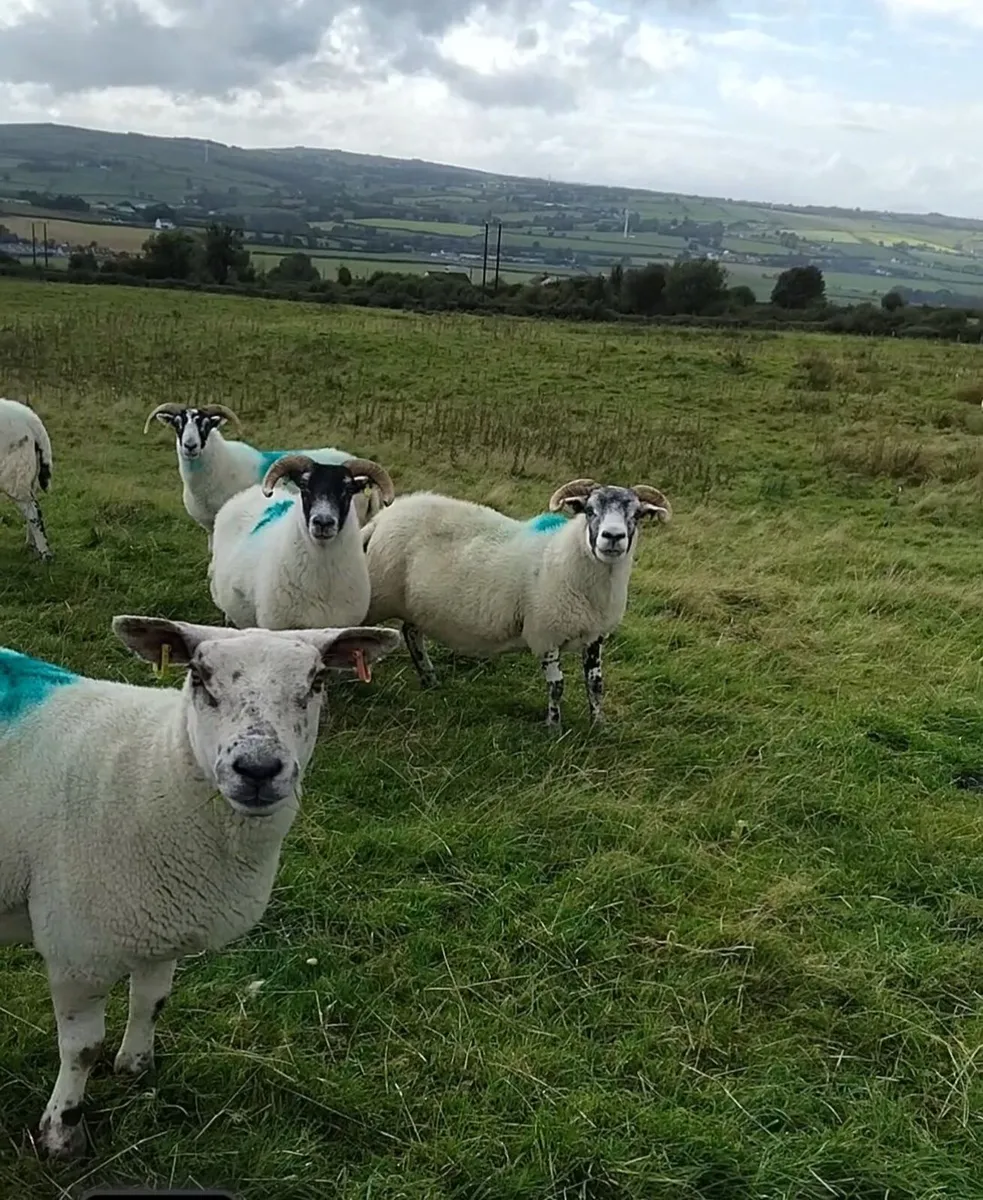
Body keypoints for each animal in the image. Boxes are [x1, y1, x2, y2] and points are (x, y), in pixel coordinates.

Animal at [0, 397, 54, 561]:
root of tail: (29, 416)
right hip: (28, 473)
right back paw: (31, 544)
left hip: (15, 474)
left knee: (33, 511)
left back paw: (45, 554)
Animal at [0, 613, 401, 1159]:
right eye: (200, 676)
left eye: (317, 681)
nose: (258, 768)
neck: (152, 768)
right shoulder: (77, 949)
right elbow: (81, 1049)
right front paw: (63, 1134)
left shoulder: (159, 921)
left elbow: (151, 1002)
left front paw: (137, 1071)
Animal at [361, 477, 671, 730]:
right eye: (590, 510)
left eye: (636, 515)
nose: (613, 537)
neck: (564, 555)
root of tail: (382, 518)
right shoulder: (545, 633)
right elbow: (557, 686)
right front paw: (554, 727)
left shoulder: (595, 636)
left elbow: (595, 685)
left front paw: (599, 726)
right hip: (377, 596)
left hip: (416, 605)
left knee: (411, 633)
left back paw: (430, 679)